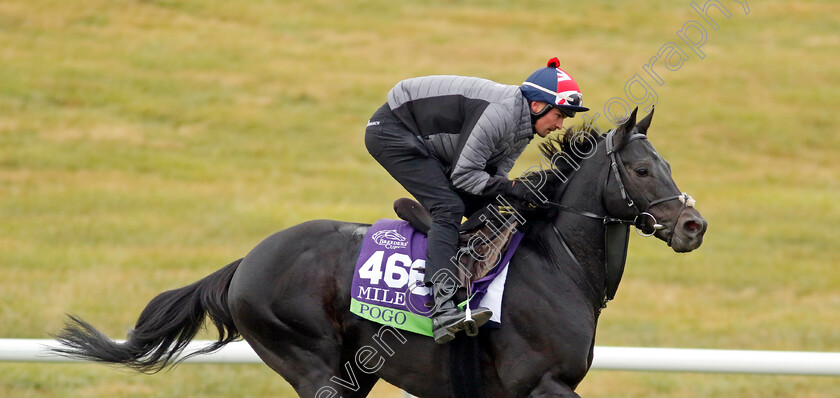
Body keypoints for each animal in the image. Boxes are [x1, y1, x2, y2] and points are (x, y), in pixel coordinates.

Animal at [52, 107, 704, 396]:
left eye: (669, 164)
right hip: (312, 363)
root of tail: (245, 264)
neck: (558, 263)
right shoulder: (542, 384)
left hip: (353, 369)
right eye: (642, 170)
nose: (694, 225)